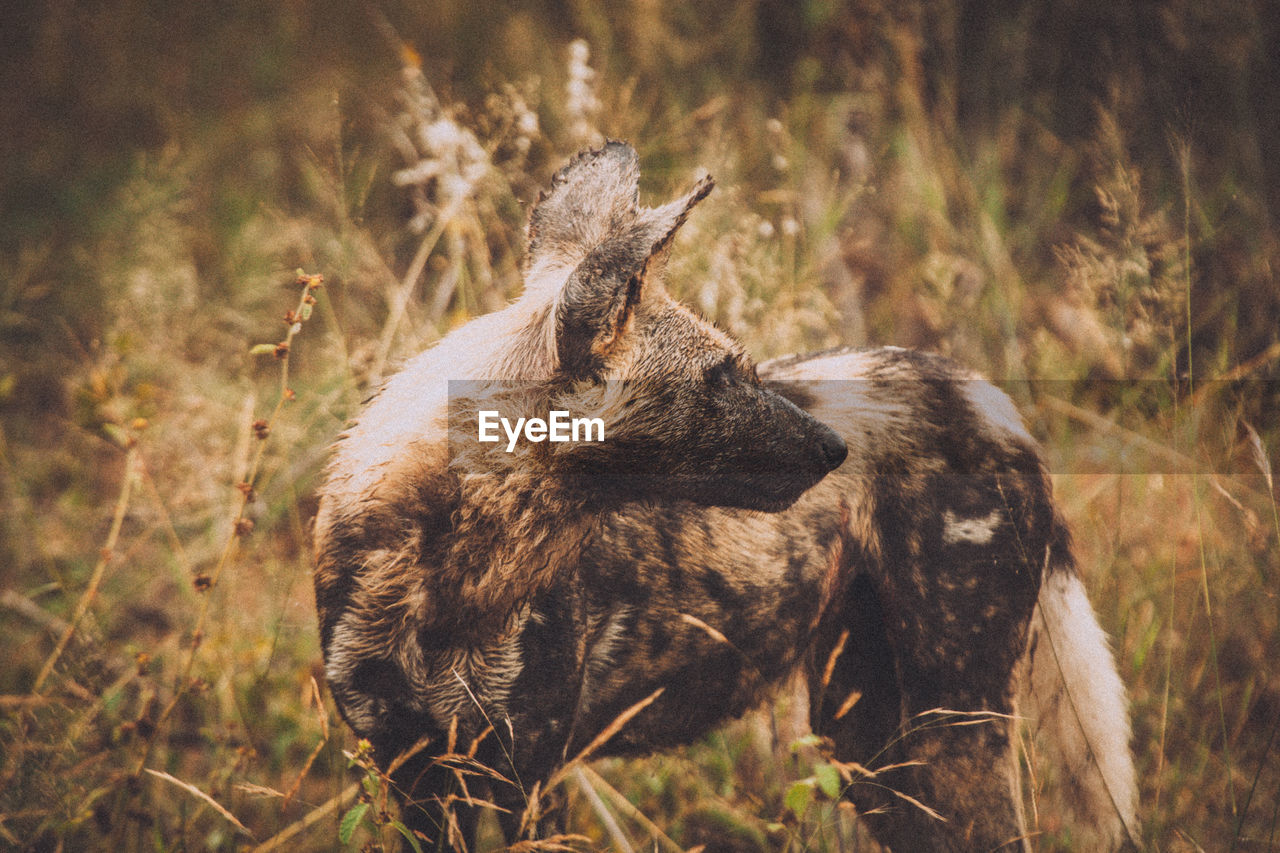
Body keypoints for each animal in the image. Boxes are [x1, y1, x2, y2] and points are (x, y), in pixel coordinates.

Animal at [312, 142, 1141, 845]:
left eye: (740, 364)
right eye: (719, 375)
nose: (834, 449)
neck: (451, 574)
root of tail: (984, 394)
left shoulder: (528, 774)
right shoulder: (413, 771)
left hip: (952, 723)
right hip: (872, 745)